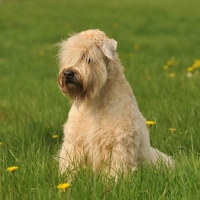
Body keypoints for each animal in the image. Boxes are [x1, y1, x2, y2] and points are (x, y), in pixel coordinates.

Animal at [56, 29, 173, 177]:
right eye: (68, 57)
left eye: (88, 58)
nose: (68, 74)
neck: (94, 102)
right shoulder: (74, 142)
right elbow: (69, 165)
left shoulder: (118, 144)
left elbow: (116, 169)